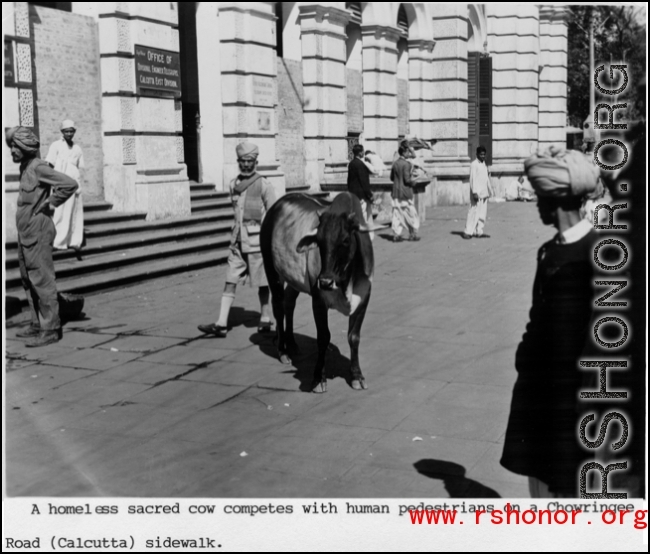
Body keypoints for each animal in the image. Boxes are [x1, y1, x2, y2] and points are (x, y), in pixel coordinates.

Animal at [260, 192, 378, 390]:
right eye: (319, 242)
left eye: (346, 240)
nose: (325, 282)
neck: (345, 280)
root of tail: (275, 206)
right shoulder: (318, 299)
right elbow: (323, 337)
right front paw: (318, 378)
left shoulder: (364, 298)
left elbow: (354, 337)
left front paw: (357, 376)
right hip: (272, 271)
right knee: (278, 306)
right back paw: (283, 350)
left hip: (294, 279)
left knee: (289, 303)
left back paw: (292, 344)